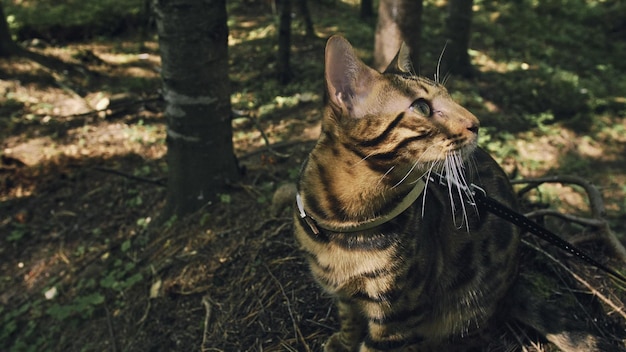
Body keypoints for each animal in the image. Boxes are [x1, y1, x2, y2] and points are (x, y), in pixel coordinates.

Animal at [292, 35, 616, 352]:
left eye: (449, 96)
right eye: (421, 107)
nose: (476, 123)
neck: (346, 221)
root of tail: (512, 287)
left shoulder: (396, 315)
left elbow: (375, 345)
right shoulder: (345, 297)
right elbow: (349, 320)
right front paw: (342, 342)